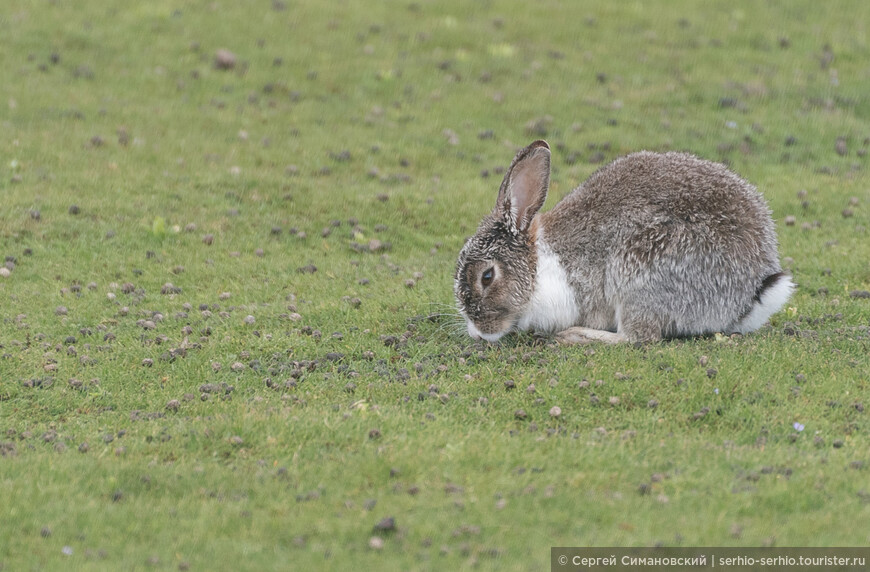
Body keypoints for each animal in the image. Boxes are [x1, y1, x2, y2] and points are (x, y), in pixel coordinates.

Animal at [456, 140, 796, 344]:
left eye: (487, 276)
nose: (477, 332)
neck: (537, 267)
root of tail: (752, 293)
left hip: (639, 270)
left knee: (639, 338)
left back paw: (575, 335)